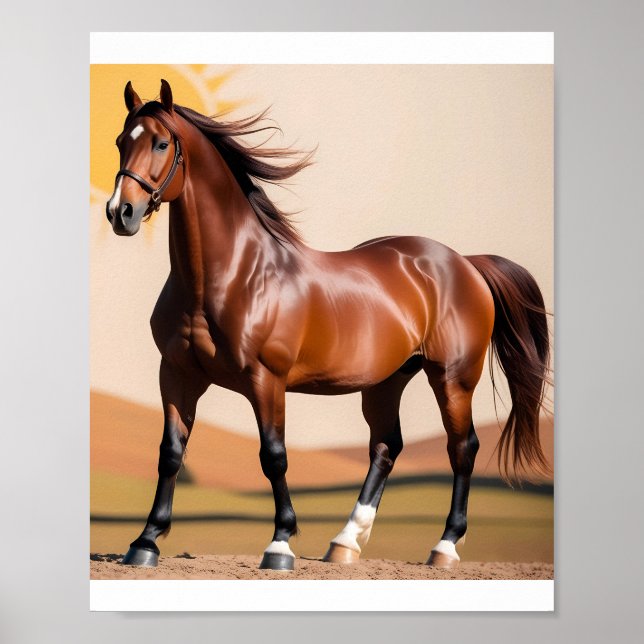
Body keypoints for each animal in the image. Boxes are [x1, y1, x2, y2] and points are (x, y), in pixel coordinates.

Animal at [105, 79, 551, 571]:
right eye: (121, 141)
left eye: (161, 143)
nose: (120, 213)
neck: (232, 276)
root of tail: (465, 263)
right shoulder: (177, 374)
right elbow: (171, 454)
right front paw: (146, 542)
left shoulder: (266, 380)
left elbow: (274, 456)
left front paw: (279, 545)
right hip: (388, 380)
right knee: (386, 446)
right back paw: (344, 543)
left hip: (453, 378)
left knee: (462, 448)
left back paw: (444, 547)